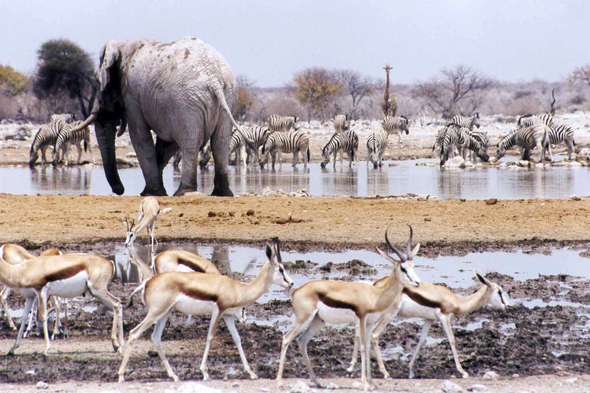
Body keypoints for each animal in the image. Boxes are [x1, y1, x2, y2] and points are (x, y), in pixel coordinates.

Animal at [70, 37, 243, 196]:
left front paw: (151, 193)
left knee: (190, 144)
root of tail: (214, 80)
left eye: (97, 80)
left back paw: (183, 192)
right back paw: (222, 193)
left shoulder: (133, 97)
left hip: (187, 103)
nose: (119, 190)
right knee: (220, 143)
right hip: (227, 97)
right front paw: (153, 191)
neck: (123, 46)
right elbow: (166, 145)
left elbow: (140, 138)